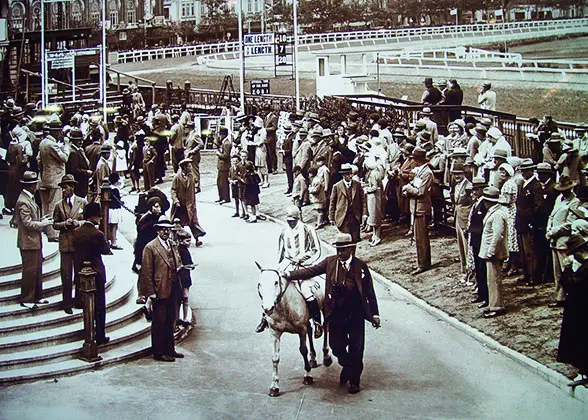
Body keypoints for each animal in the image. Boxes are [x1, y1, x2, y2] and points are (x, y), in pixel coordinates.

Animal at [256, 262, 334, 398]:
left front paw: (307, 376)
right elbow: (275, 357)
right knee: (310, 330)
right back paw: (313, 359)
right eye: (259, 284)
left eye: (276, 282)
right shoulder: (274, 332)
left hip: (325, 307)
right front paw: (274, 386)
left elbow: (303, 350)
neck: (284, 306)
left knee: (325, 327)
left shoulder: (301, 330)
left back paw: (326, 356)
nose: (267, 308)